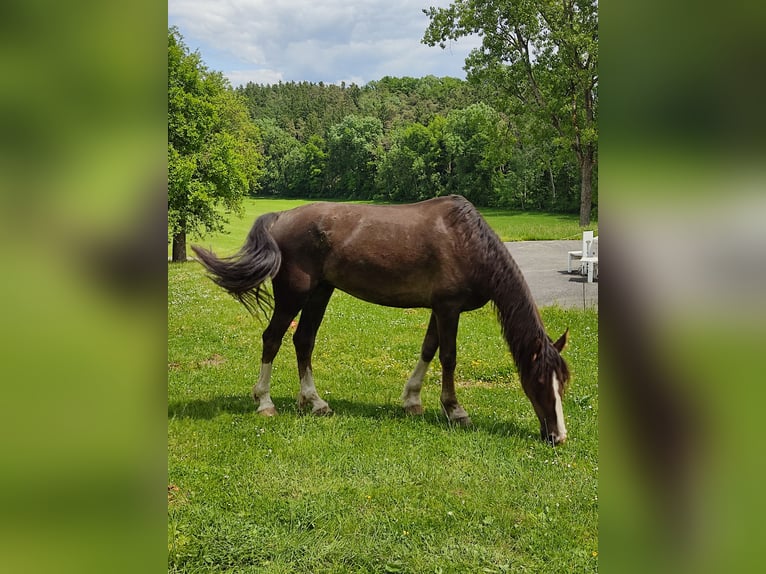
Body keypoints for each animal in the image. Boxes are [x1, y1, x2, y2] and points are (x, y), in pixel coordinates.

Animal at [192, 195, 570, 445]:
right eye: (539, 381)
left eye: (562, 383)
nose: (558, 436)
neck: (466, 242)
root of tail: (281, 217)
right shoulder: (448, 308)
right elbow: (448, 357)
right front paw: (454, 410)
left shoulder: (439, 309)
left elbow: (428, 350)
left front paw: (412, 401)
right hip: (293, 295)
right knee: (272, 338)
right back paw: (265, 402)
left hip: (320, 292)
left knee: (304, 340)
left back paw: (314, 402)